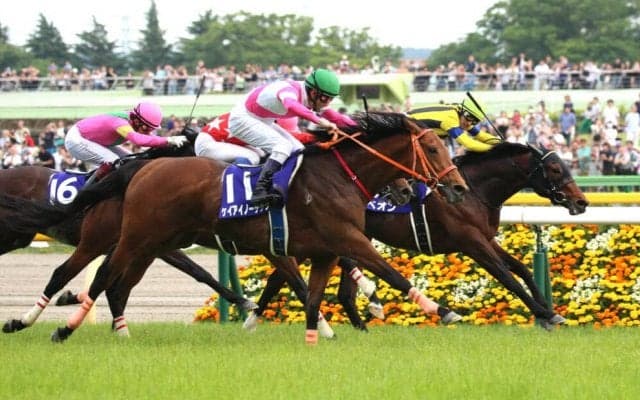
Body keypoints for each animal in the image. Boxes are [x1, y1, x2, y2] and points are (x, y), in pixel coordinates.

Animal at [244, 142, 589, 331]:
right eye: (555, 170)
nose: (582, 201)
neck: (472, 190)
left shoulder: (486, 238)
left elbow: (522, 269)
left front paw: (549, 311)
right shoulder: (471, 242)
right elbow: (507, 277)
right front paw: (544, 313)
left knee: (333, 290)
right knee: (283, 276)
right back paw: (252, 317)